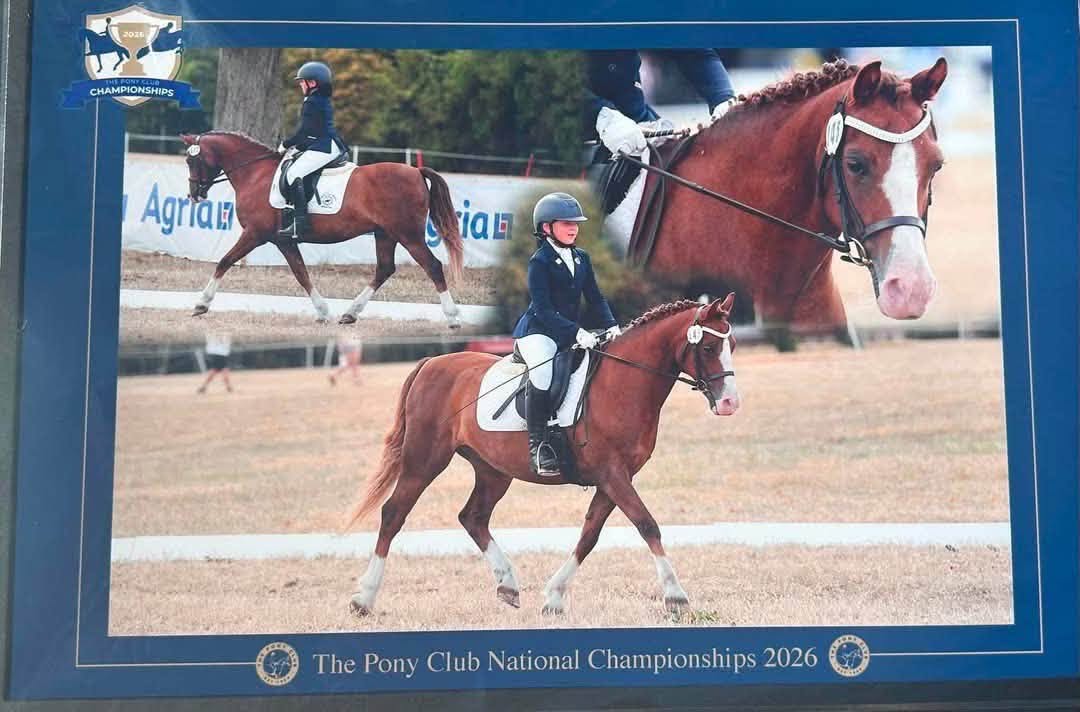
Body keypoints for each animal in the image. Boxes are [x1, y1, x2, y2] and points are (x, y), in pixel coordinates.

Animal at [180, 131, 465, 327]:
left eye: (191, 161)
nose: (194, 194)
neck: (255, 174)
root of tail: (416, 172)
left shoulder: (254, 234)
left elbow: (224, 262)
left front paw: (201, 304)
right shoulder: (284, 241)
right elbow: (301, 273)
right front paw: (323, 311)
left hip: (408, 234)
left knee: (432, 266)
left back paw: (452, 318)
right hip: (385, 234)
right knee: (384, 268)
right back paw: (349, 313)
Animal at [343, 294, 740, 616]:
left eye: (732, 344)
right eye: (707, 348)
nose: (730, 404)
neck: (623, 384)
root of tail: (431, 363)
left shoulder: (613, 478)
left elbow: (590, 535)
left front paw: (554, 597)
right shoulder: (613, 473)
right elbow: (647, 524)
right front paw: (676, 596)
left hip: (492, 470)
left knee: (473, 517)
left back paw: (507, 585)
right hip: (424, 460)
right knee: (394, 513)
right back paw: (364, 598)